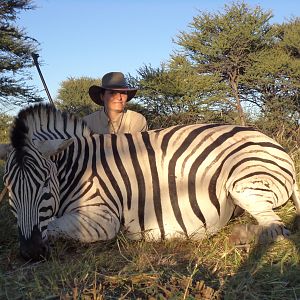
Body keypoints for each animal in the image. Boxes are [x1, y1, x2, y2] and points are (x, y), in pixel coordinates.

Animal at [0, 103, 298, 260]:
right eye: (9, 189)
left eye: (45, 185)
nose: (30, 252)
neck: (76, 168)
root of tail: (272, 142)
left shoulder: (102, 218)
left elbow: (54, 226)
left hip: (242, 184)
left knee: (277, 228)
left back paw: (239, 237)